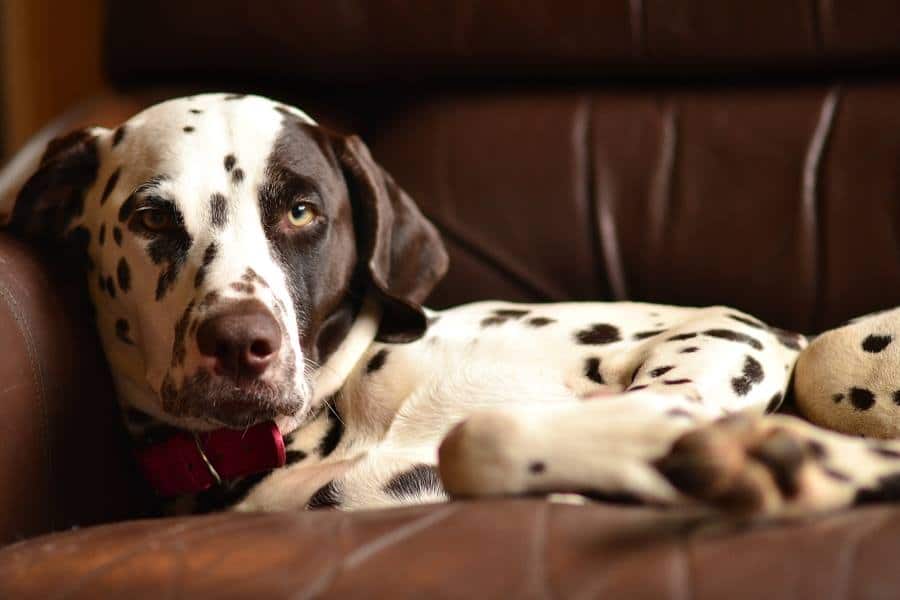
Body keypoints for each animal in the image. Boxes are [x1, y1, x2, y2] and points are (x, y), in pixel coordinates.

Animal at [5, 92, 900, 516]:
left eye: (300, 210)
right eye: (153, 218)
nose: (240, 344)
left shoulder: (729, 330)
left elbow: (494, 431)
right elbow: (483, 443)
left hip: (824, 356)